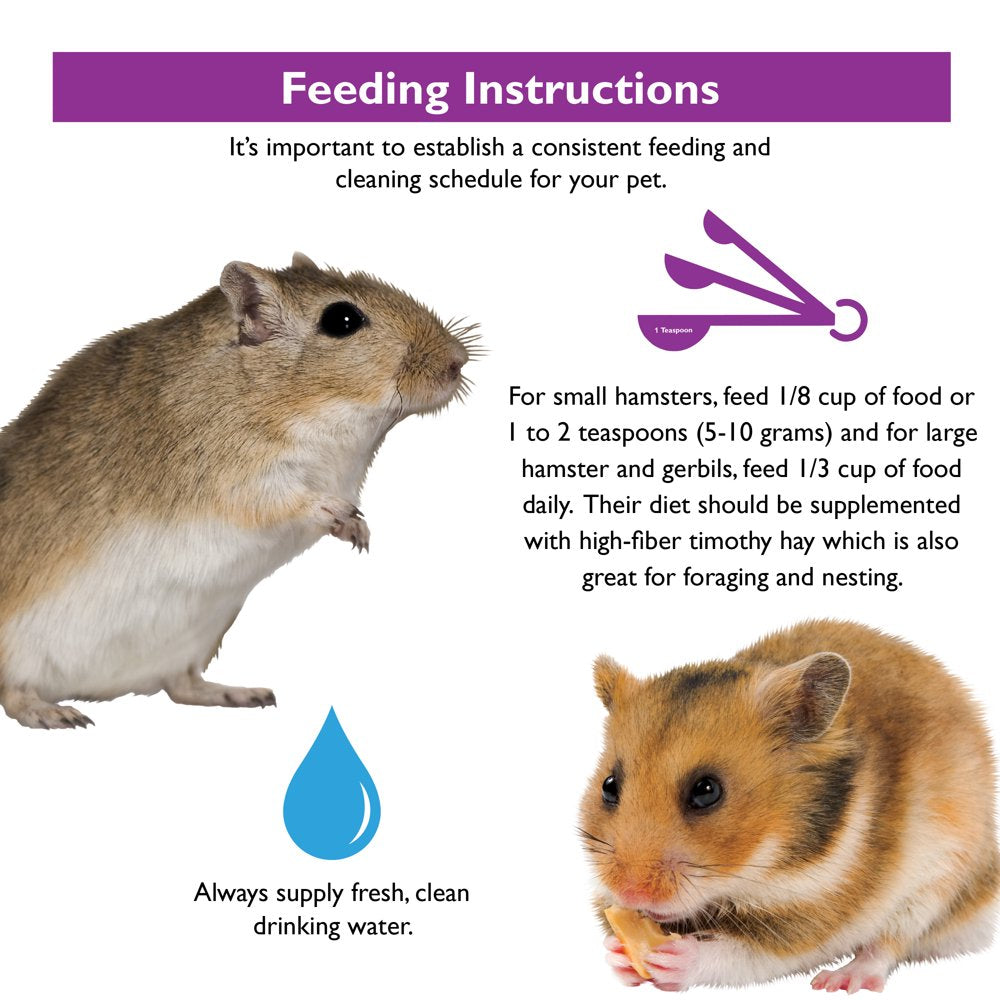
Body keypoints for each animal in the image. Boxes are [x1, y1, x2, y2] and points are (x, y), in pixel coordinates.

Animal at [0, 253, 475, 729]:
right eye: (342, 320)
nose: (459, 360)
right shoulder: (235, 479)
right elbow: (291, 501)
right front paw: (340, 515)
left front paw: (359, 532)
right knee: (14, 694)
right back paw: (53, 713)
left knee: (182, 687)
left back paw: (241, 694)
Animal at [580, 620, 998, 992]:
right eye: (609, 786)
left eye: (707, 791)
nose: (631, 895)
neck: (764, 861)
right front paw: (619, 953)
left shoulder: (812, 916)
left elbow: (745, 953)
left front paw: (670, 958)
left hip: (938, 880)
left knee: (889, 944)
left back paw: (840, 981)